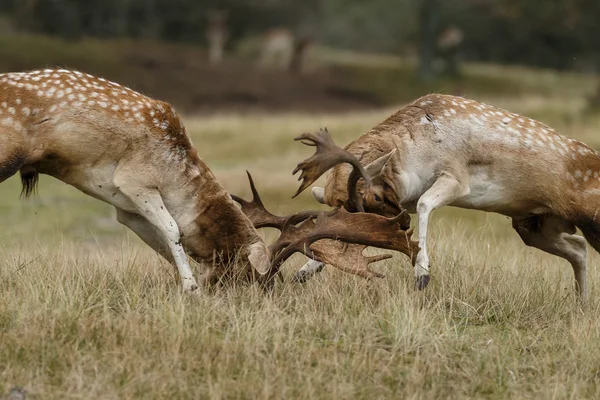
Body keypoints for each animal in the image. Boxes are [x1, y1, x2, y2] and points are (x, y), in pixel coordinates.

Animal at [296, 94, 600, 300]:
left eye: (374, 200)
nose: (403, 224)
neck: (411, 158)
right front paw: (304, 271)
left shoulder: (457, 178)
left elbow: (425, 204)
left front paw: (422, 274)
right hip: (535, 225)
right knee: (577, 247)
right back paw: (580, 303)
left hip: (589, 217)